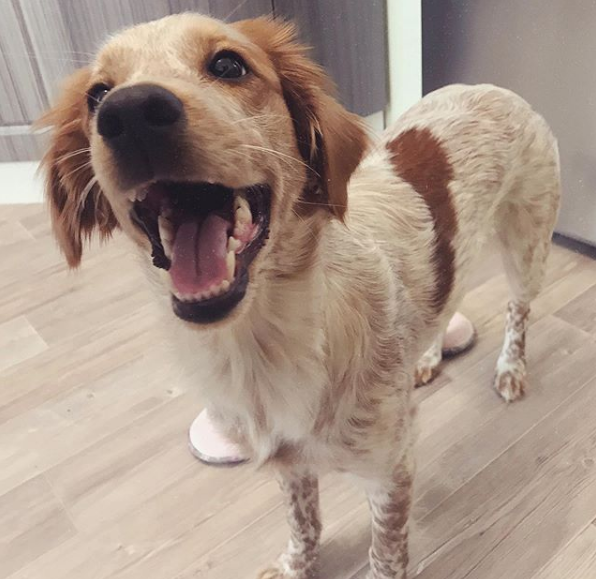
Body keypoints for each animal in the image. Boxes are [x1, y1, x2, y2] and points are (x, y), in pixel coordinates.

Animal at [39, 13, 560, 579]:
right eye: (96, 95)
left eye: (228, 65)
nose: (129, 112)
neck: (264, 343)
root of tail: (493, 87)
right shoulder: (289, 463)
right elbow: (303, 520)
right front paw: (296, 565)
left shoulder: (391, 468)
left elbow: (385, 554)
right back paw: (425, 357)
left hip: (528, 247)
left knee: (517, 311)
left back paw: (509, 369)